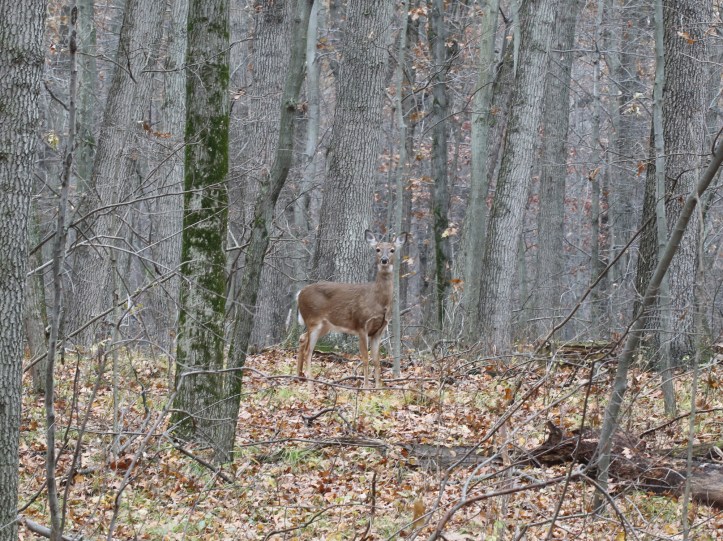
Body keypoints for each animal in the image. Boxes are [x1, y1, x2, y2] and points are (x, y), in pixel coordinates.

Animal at [296, 230, 407, 388]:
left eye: (392, 250)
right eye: (377, 249)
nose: (384, 260)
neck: (379, 301)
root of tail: (300, 293)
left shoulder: (379, 330)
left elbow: (377, 361)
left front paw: (378, 388)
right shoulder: (361, 324)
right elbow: (365, 358)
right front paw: (366, 387)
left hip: (325, 325)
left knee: (302, 338)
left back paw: (299, 376)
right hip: (313, 320)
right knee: (308, 351)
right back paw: (310, 385)